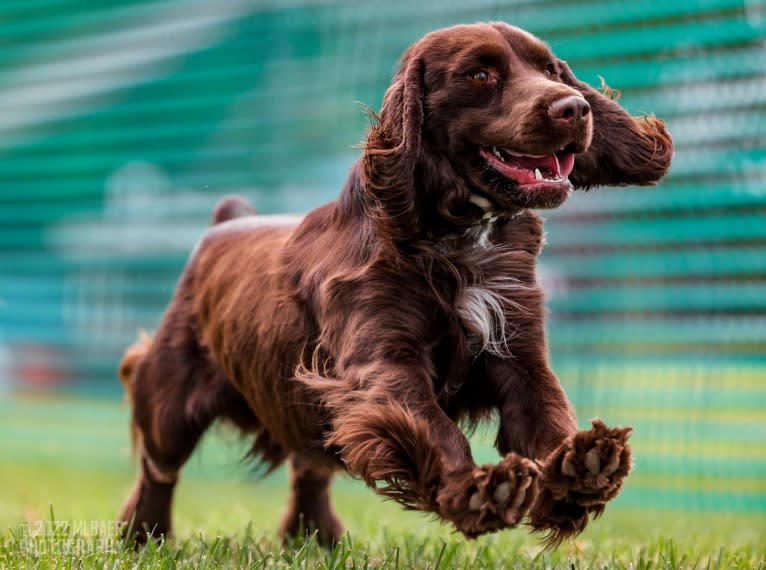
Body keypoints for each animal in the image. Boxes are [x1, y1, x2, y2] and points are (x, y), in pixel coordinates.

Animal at [117, 22, 676, 544]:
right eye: (480, 75)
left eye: (550, 69)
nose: (574, 107)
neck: (458, 242)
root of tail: (223, 223)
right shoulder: (384, 365)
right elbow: (438, 431)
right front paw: (480, 490)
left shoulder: (519, 350)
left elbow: (548, 416)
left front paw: (581, 470)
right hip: (173, 396)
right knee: (157, 466)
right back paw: (144, 535)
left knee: (310, 466)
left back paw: (316, 538)